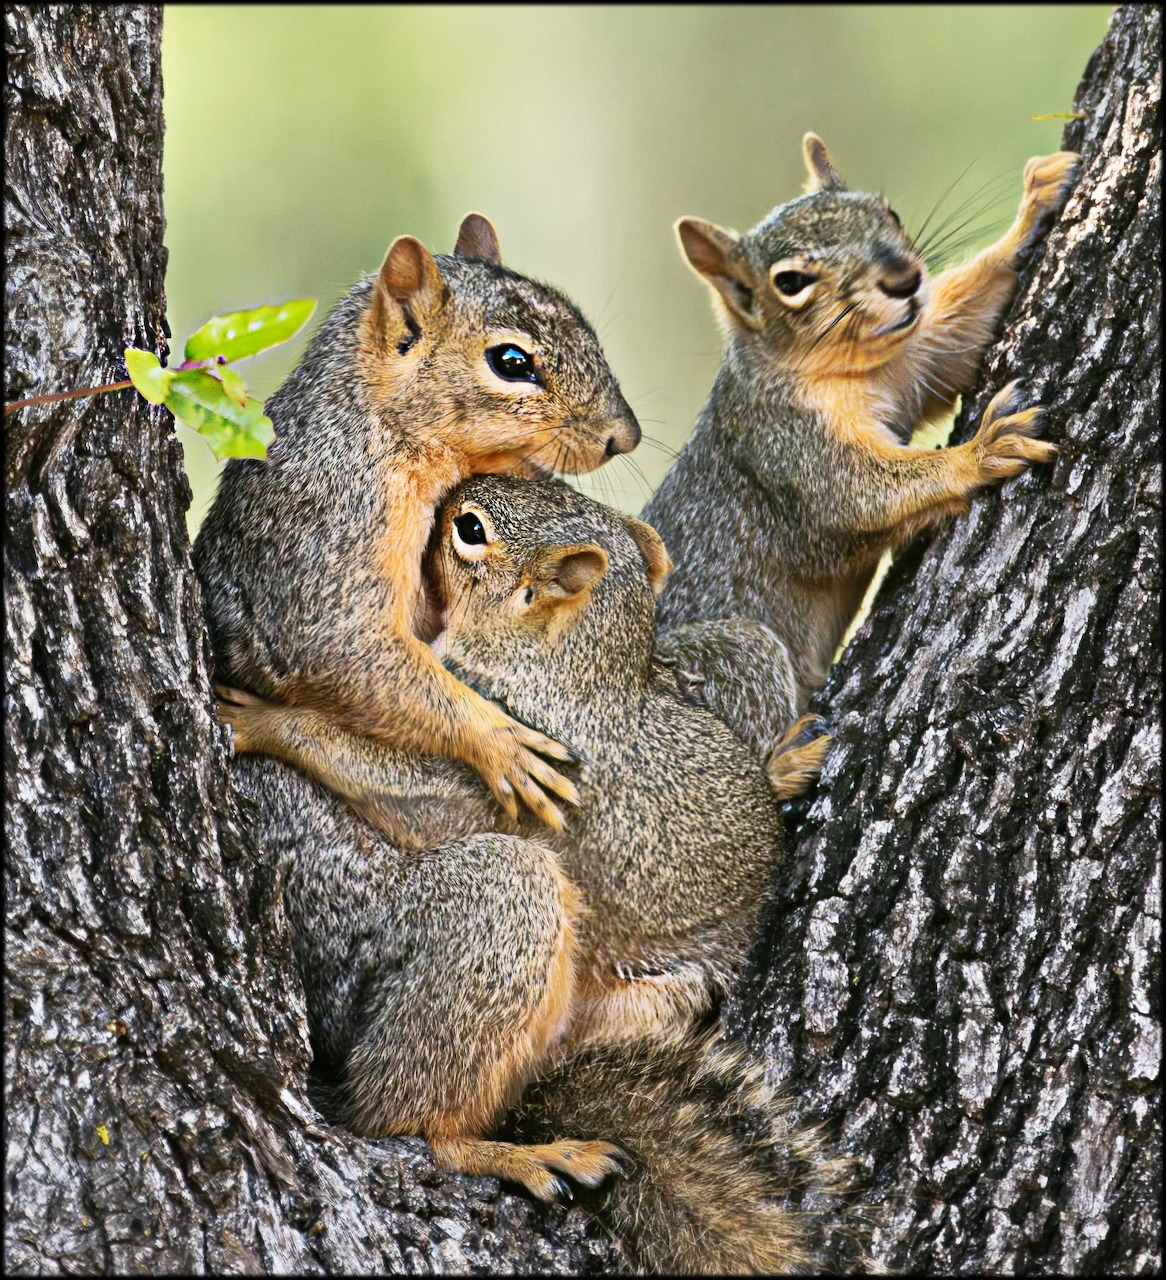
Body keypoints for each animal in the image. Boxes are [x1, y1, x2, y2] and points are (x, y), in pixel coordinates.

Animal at [193, 213, 640, 830]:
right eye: (512, 362)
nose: (626, 437)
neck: (383, 430)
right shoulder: (333, 528)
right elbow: (341, 648)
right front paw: (500, 743)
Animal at [219, 474, 846, 1274]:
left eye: (471, 530)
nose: (452, 494)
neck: (569, 660)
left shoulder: (503, 736)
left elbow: (395, 778)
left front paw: (265, 721)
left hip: (504, 923)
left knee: (403, 1119)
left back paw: (496, 1151)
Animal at [642, 134, 1078, 709]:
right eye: (790, 282)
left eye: (886, 212)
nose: (905, 279)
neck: (850, 369)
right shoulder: (782, 444)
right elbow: (853, 497)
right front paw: (983, 449)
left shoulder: (914, 363)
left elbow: (960, 338)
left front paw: (1035, 205)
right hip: (719, 659)